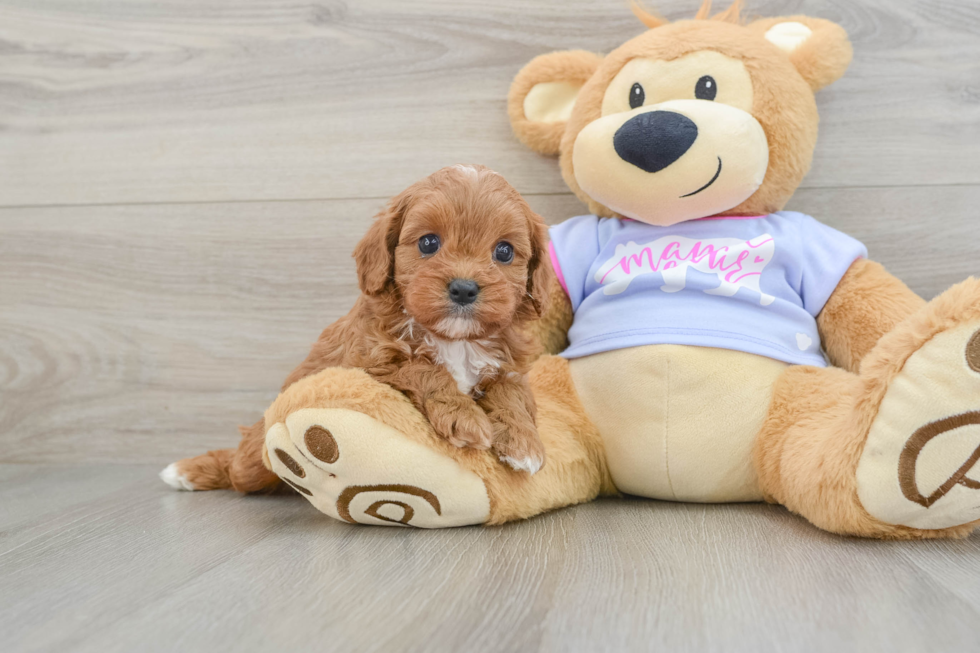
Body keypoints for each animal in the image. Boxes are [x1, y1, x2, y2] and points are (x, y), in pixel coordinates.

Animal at [165, 166, 556, 492]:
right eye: (428, 242)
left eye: (504, 251)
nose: (463, 288)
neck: (454, 340)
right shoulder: (372, 362)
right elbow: (423, 369)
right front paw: (464, 417)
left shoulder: (508, 366)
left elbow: (512, 394)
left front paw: (523, 443)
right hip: (254, 461)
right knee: (237, 471)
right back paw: (193, 472)